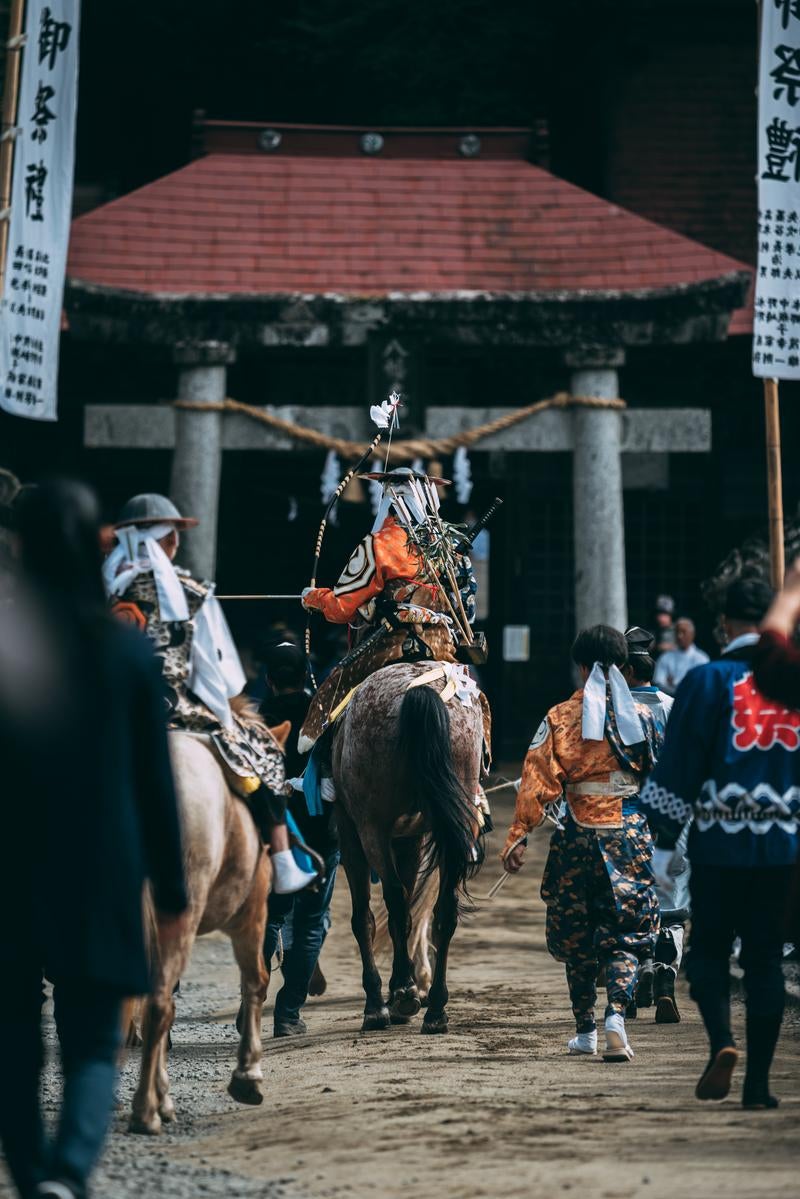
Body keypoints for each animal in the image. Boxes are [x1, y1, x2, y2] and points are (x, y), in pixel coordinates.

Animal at [133, 728, 289, 1131]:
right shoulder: (251, 914)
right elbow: (256, 981)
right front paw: (248, 1075)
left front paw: (165, 1096)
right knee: (159, 1003)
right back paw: (143, 1110)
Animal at [331, 661, 482, 1035]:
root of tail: (420, 691)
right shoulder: (410, 838)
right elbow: (413, 909)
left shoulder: (350, 832)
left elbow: (365, 918)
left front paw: (380, 1002)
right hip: (459, 815)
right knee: (444, 909)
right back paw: (436, 1008)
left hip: (371, 827)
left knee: (395, 902)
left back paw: (399, 995)